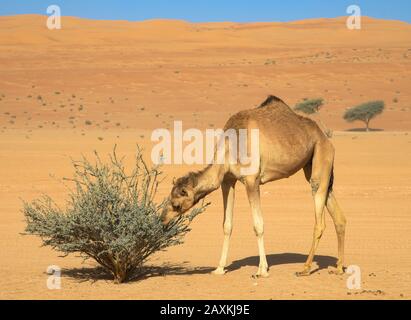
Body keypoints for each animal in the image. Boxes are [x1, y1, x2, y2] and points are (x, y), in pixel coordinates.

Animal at [161, 95, 348, 278]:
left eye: (175, 205)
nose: (162, 221)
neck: (230, 146)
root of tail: (325, 137)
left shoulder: (252, 180)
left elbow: (258, 225)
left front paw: (261, 270)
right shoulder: (227, 181)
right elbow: (227, 225)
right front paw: (219, 268)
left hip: (321, 156)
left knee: (319, 219)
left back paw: (305, 269)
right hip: (314, 166)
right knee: (338, 216)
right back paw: (338, 268)